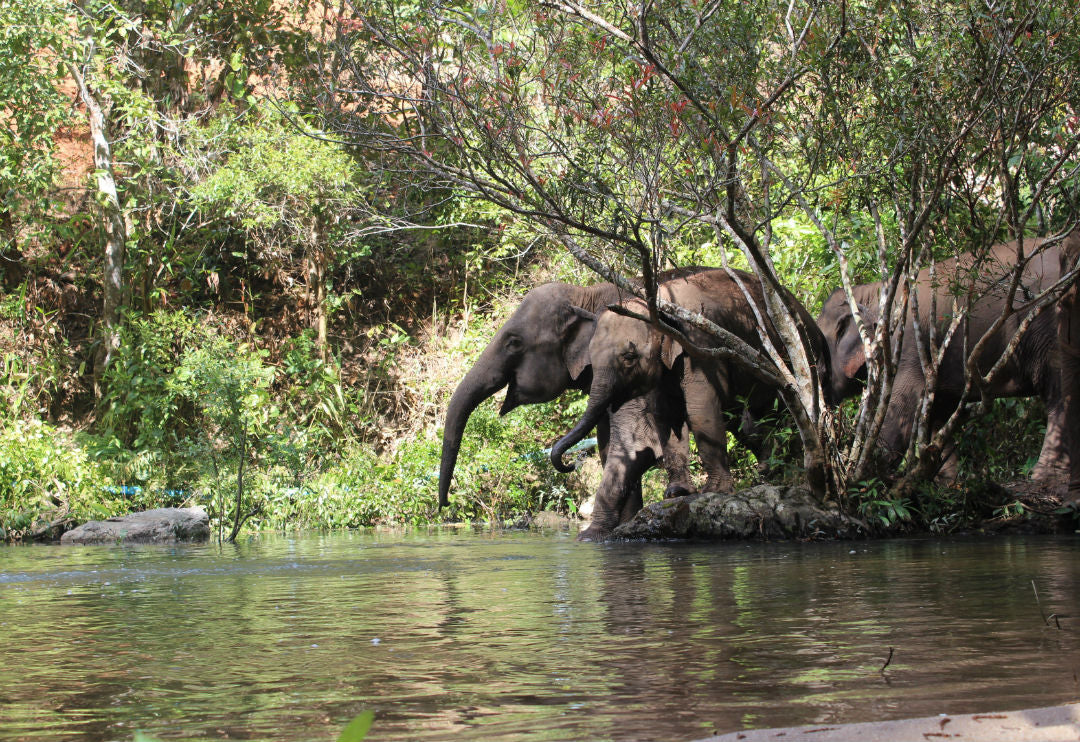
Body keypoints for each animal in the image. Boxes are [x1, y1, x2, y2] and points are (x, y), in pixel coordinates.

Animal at [552, 266, 829, 540]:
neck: (660, 300)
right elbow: (666, 415)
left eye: (629, 356)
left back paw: (795, 474)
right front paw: (677, 493)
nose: (570, 464)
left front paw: (715, 491)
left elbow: (700, 411)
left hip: (808, 361)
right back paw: (771, 470)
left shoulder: (700, 346)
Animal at [816, 235, 1080, 483]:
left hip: (1047, 321)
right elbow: (936, 413)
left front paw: (865, 476)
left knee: (1059, 390)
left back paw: (1045, 476)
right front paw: (945, 482)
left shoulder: (909, 344)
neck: (873, 292)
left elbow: (904, 404)